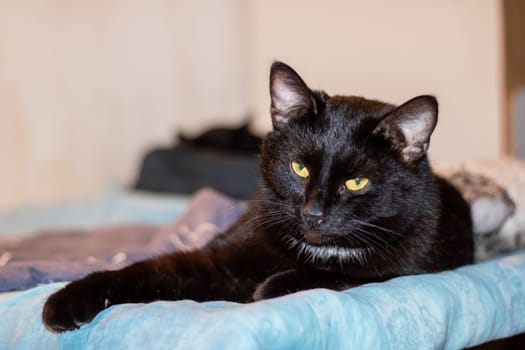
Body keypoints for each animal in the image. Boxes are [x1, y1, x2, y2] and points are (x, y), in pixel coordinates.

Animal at [43, 61, 472, 332]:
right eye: (299, 168)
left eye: (356, 183)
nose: (313, 212)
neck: (317, 249)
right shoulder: (222, 260)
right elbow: (149, 270)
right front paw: (66, 300)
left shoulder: (408, 265)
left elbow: (345, 276)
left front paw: (269, 288)